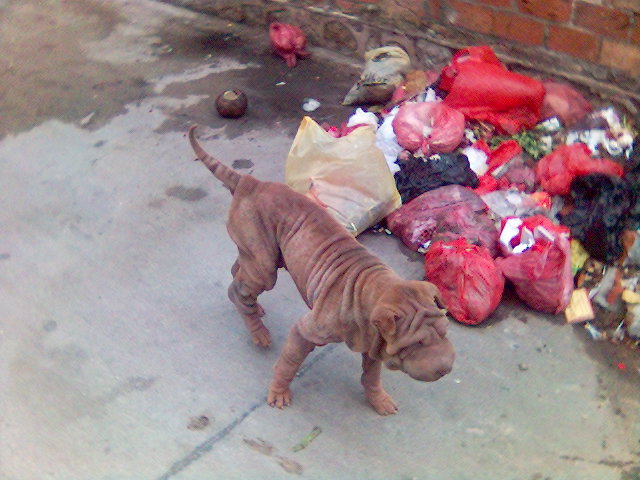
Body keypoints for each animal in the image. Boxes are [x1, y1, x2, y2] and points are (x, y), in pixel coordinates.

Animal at [189, 125, 455, 415]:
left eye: (444, 331)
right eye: (416, 343)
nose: (445, 368)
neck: (370, 291)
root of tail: (252, 183)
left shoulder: (375, 344)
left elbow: (371, 375)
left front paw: (378, 399)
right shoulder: (306, 331)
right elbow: (288, 363)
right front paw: (279, 392)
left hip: (262, 254)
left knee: (239, 271)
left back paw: (253, 307)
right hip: (264, 265)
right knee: (240, 288)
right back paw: (257, 330)